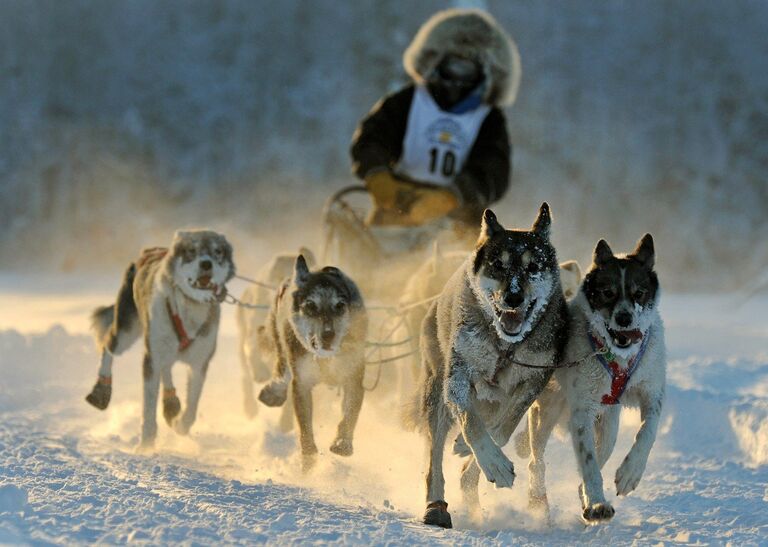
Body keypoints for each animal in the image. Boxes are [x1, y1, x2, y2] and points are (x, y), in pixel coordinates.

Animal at [85, 231, 234, 450]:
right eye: (191, 250)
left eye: (218, 252)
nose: (206, 264)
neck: (188, 309)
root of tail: (148, 251)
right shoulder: (151, 359)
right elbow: (148, 408)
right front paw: (145, 446)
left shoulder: (199, 363)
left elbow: (192, 407)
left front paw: (180, 424)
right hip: (126, 332)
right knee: (108, 346)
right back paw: (101, 389)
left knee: (167, 366)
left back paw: (171, 402)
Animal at [256, 256, 368, 466]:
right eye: (310, 305)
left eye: (340, 306)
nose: (328, 335)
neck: (325, 358)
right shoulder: (302, 382)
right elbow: (305, 425)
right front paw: (309, 455)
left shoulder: (353, 377)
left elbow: (350, 414)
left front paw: (342, 443)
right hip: (281, 339)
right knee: (282, 367)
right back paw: (274, 392)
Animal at [412, 203, 568, 528]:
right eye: (498, 264)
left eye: (533, 267)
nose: (513, 297)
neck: (504, 346)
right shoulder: (458, 378)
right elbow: (471, 423)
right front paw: (492, 462)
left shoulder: (533, 382)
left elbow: (503, 429)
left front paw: (473, 451)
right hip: (436, 393)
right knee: (434, 457)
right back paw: (436, 506)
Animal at [516, 234, 664, 524]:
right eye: (608, 292)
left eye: (638, 293)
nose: (624, 318)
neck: (618, 355)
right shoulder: (582, 410)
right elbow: (588, 462)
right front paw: (597, 503)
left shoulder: (651, 393)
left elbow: (647, 431)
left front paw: (630, 473)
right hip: (547, 411)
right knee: (536, 459)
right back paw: (539, 499)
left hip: (608, 424)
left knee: (601, 451)